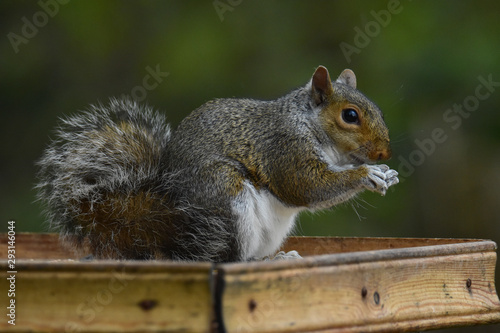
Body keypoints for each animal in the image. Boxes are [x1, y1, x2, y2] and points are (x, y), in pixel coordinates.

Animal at [36, 65, 398, 262]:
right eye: (350, 116)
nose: (384, 155)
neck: (307, 122)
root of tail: (168, 228)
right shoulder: (284, 148)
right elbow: (306, 187)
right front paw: (368, 174)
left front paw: (388, 174)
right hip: (225, 196)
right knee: (224, 259)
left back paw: (275, 257)